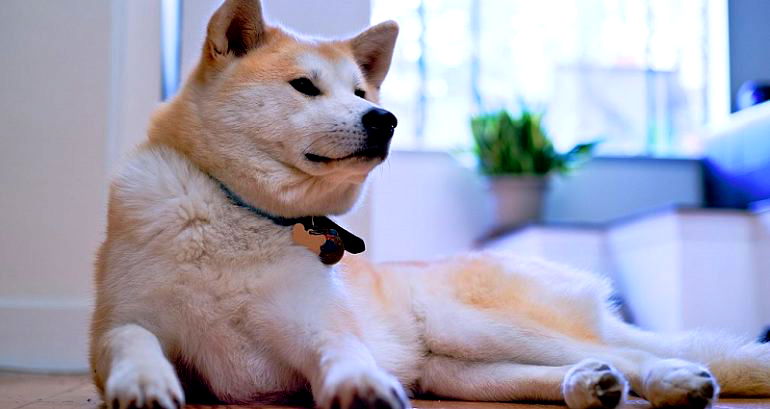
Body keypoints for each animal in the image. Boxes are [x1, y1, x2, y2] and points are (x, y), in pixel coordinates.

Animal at [93, 0, 768, 408]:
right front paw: (143, 381)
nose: (385, 118)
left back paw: (671, 379)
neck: (240, 213)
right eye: (304, 86)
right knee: (596, 364)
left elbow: (342, 350)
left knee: (633, 352)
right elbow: (131, 340)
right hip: (461, 368)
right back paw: (591, 385)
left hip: (471, 324)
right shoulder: (120, 323)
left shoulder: (315, 326)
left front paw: (361, 382)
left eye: (362, 91)